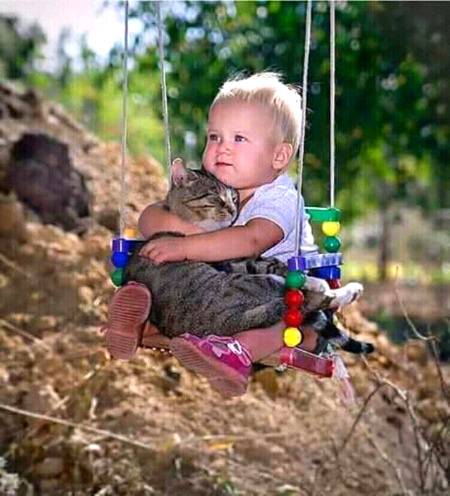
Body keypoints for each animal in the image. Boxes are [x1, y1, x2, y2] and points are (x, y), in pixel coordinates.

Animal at [124, 161, 374, 354]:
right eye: (215, 197)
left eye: (234, 197)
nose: (233, 210)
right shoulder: (239, 262)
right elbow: (276, 266)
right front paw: (314, 281)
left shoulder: (235, 260)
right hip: (253, 285)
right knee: (308, 299)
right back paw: (339, 288)